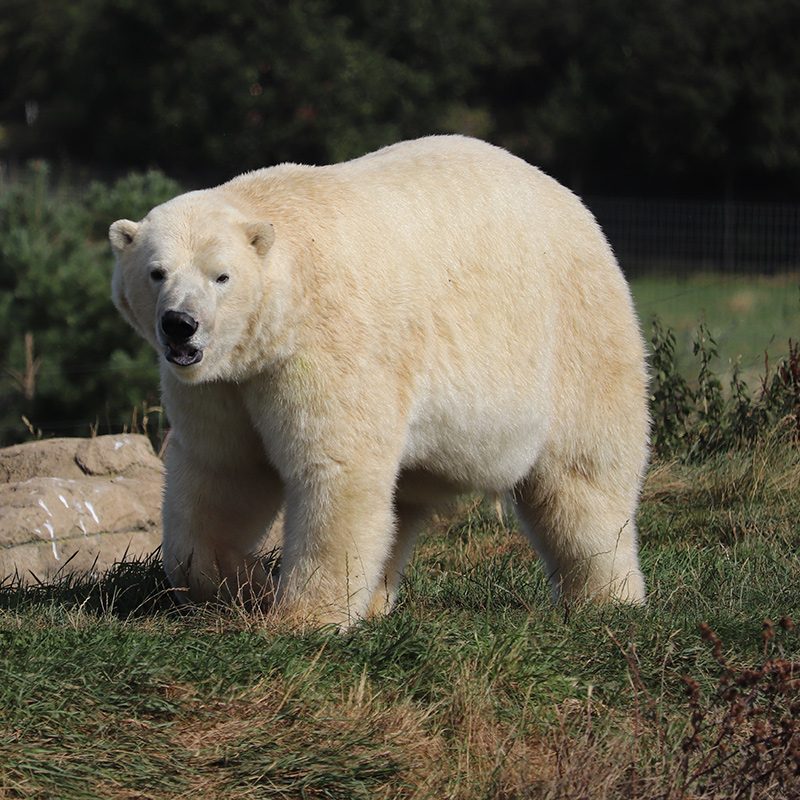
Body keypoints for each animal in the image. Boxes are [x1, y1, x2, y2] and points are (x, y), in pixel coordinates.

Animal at [109, 136, 648, 624]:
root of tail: (577, 206)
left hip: (576, 334)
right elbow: (224, 470)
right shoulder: (223, 383)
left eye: (221, 276)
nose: (180, 324)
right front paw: (241, 587)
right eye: (157, 272)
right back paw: (374, 600)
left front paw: (301, 617)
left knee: (583, 479)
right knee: (401, 504)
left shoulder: (326, 346)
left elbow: (337, 468)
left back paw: (608, 598)